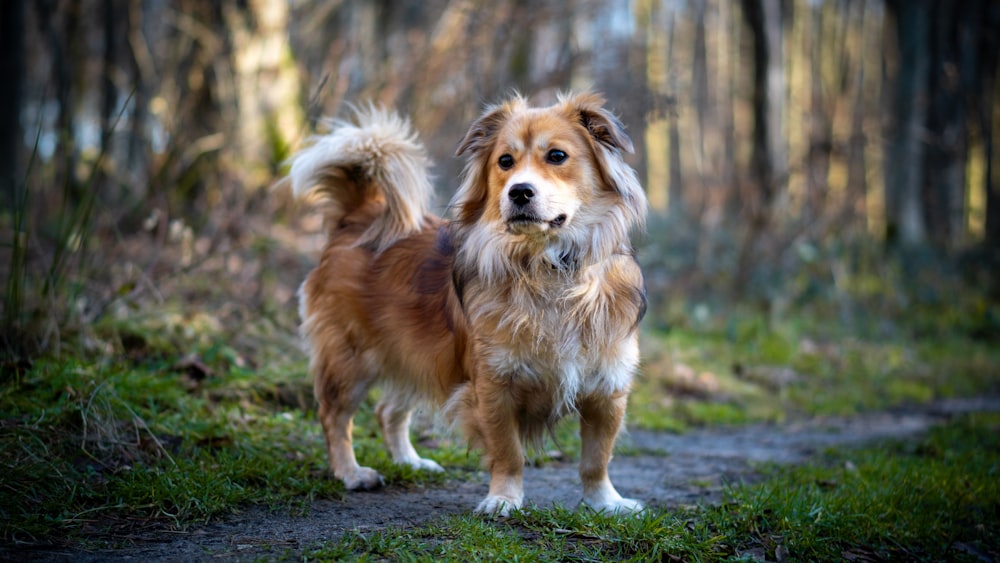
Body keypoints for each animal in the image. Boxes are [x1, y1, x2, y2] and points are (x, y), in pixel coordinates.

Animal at [290, 93, 648, 520]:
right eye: (505, 161)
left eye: (557, 155)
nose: (519, 192)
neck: (547, 266)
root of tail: (359, 217)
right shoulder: (494, 385)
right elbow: (509, 452)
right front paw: (503, 499)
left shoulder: (607, 389)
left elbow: (597, 457)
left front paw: (605, 502)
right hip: (350, 359)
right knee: (335, 416)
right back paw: (351, 472)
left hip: (416, 352)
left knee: (388, 411)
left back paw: (410, 462)